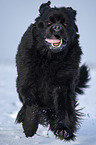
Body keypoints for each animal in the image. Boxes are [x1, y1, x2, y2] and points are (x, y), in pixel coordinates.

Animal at [15, 1, 89, 140]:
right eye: (48, 22)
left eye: (65, 24)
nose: (57, 28)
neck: (49, 59)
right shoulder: (25, 81)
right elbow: (32, 104)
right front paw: (29, 127)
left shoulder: (63, 85)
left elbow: (61, 108)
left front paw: (63, 129)